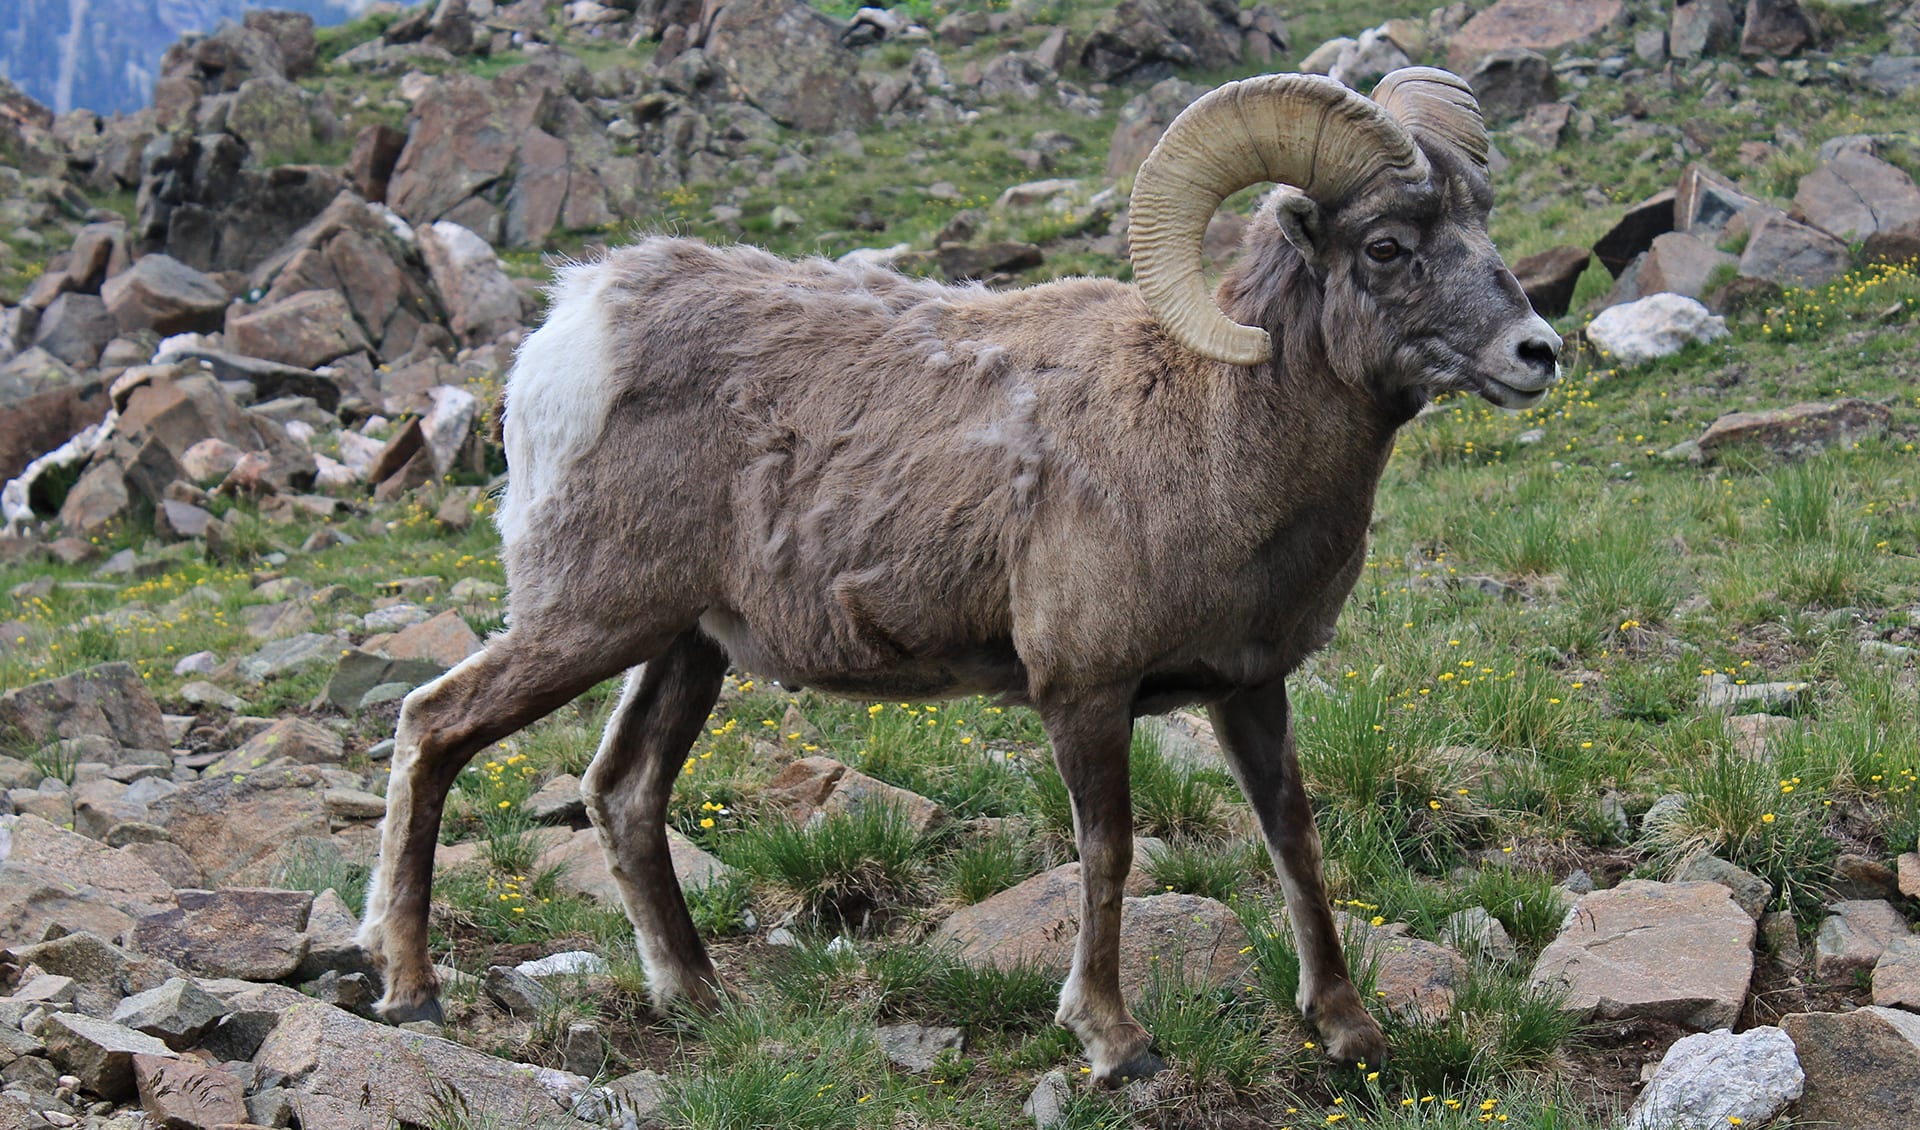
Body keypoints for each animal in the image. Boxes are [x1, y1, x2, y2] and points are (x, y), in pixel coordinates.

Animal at [358, 66, 1561, 1085]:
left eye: (1480, 222)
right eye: (1389, 245)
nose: (1537, 353)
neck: (1214, 432)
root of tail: (574, 329)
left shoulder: (1249, 688)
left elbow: (1295, 841)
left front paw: (1350, 1031)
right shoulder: (1083, 691)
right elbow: (1109, 852)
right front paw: (1116, 1042)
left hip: (684, 647)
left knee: (623, 790)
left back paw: (697, 997)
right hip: (585, 621)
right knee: (435, 725)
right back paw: (411, 991)